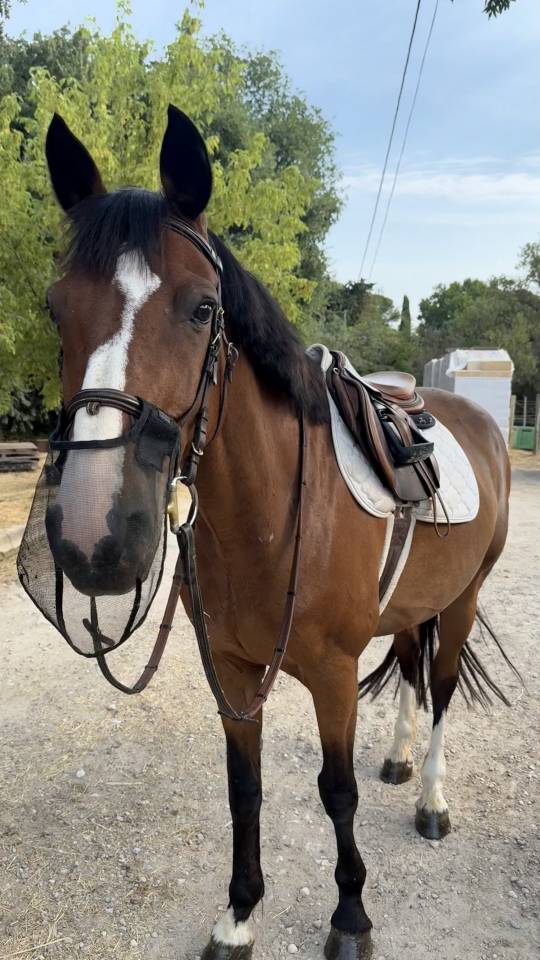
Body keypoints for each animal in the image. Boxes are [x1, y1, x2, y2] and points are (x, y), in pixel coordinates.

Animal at [40, 104, 512, 960]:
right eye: (57, 308)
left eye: (202, 308)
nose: (95, 535)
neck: (268, 523)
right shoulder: (231, 674)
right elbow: (245, 792)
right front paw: (238, 914)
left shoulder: (332, 675)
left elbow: (336, 792)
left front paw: (351, 917)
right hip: (412, 604)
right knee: (411, 668)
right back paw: (400, 760)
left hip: (463, 600)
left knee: (443, 687)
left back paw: (430, 799)